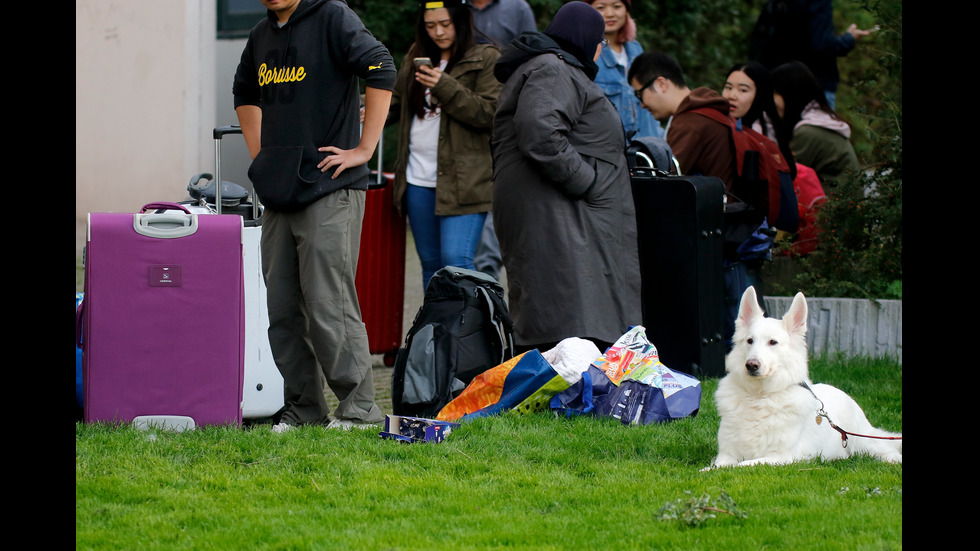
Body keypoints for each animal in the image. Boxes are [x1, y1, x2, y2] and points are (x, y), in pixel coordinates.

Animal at [704, 286, 904, 468]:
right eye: (749, 341)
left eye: (773, 342)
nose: (751, 365)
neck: (759, 397)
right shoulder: (727, 453)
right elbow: (720, 466)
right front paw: (707, 470)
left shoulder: (782, 457)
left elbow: (741, 465)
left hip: (862, 442)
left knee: (883, 447)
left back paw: (893, 459)